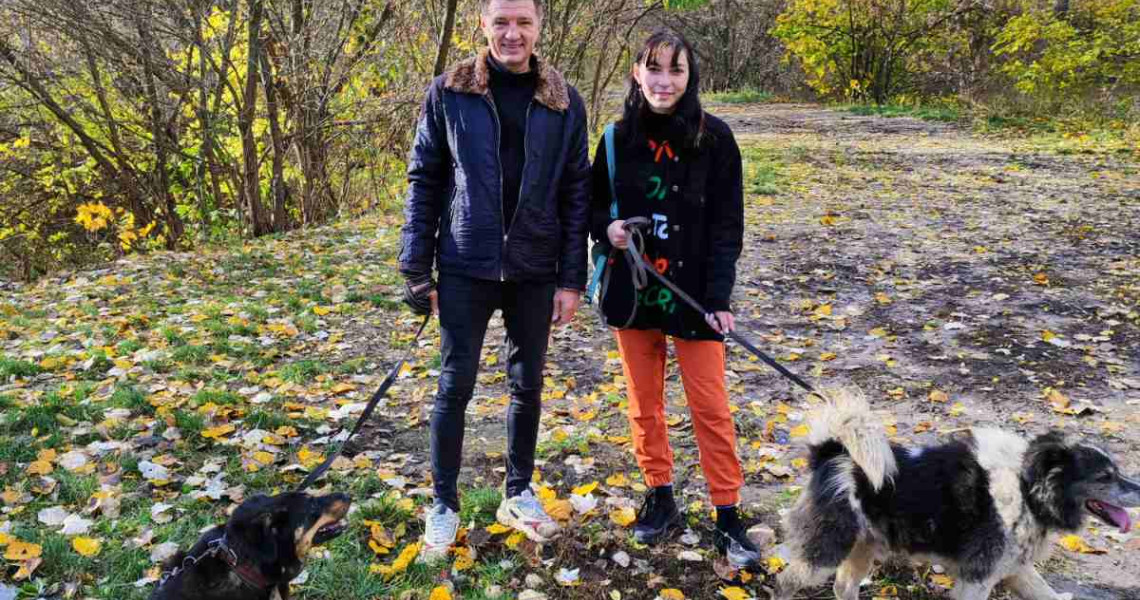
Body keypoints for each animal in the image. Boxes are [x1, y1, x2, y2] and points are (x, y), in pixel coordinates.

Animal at [775, 390, 1140, 600]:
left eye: (1117, 470)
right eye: (1105, 476)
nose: (1139, 488)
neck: (1026, 489)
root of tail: (829, 452)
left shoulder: (1014, 569)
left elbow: (1046, 594)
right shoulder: (978, 577)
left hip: (860, 548)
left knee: (843, 587)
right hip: (825, 552)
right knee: (785, 582)